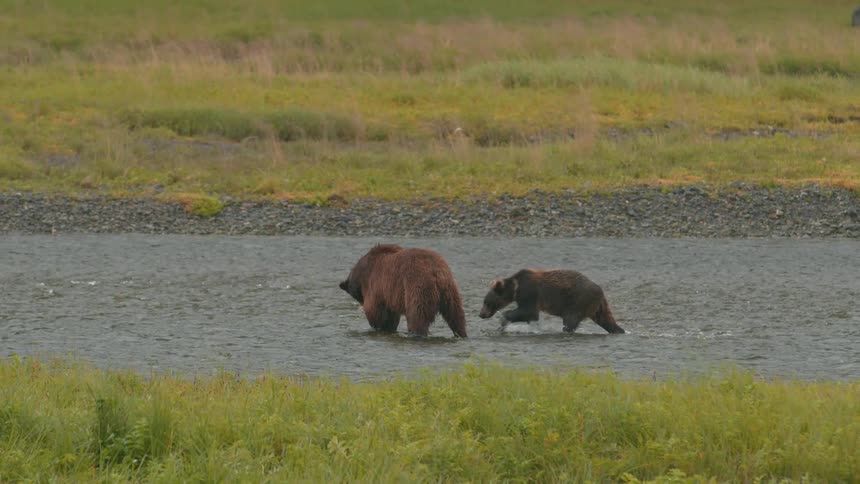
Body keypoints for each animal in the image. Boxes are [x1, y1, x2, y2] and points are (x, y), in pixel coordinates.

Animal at [339, 244, 468, 337]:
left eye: (357, 295)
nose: (361, 302)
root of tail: (436, 271)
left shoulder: (375, 286)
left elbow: (375, 311)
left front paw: (378, 326)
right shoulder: (389, 294)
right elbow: (391, 314)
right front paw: (389, 328)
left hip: (417, 287)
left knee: (417, 316)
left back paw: (416, 334)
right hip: (450, 291)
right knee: (456, 315)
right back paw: (461, 334)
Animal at [478, 269, 625, 334]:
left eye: (486, 302)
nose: (481, 314)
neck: (515, 288)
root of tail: (600, 291)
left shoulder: (529, 292)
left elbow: (529, 312)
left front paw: (503, 319)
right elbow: (529, 313)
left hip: (578, 300)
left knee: (570, 319)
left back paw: (566, 330)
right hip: (597, 306)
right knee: (606, 320)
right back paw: (619, 330)